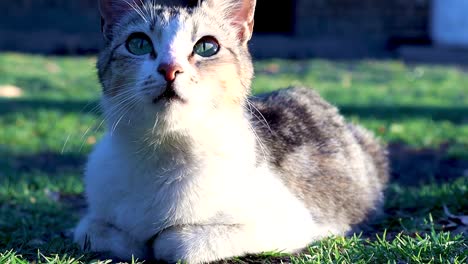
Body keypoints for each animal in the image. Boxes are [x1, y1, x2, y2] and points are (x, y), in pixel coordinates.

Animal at [72, 0, 388, 262]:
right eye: (137, 44)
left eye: (207, 47)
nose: (170, 68)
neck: (163, 151)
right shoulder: (93, 216)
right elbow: (94, 231)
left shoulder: (297, 221)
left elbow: (179, 243)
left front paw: (162, 240)